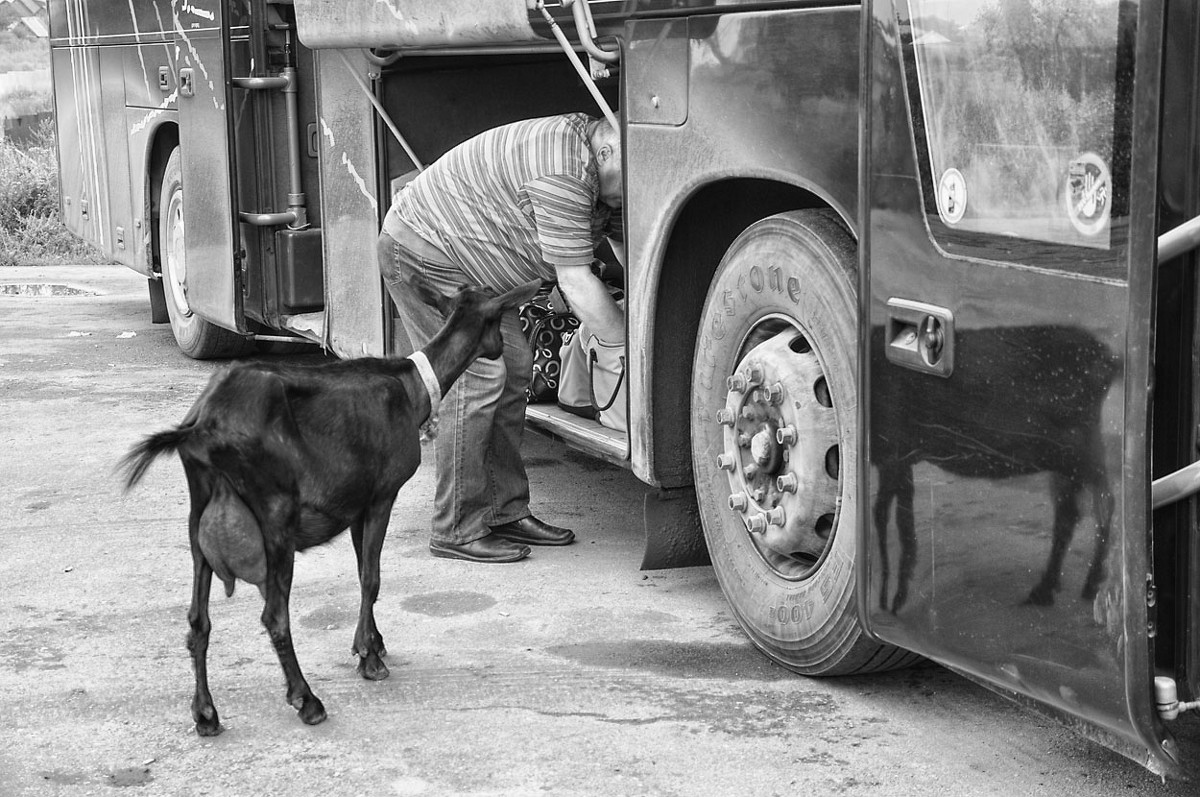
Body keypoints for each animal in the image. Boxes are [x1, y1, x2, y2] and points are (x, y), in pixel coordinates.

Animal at [120, 273, 540, 734]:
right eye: (499, 317)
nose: (505, 349)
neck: (413, 386)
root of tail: (201, 426)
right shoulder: (382, 494)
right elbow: (372, 578)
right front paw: (370, 659)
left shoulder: (357, 503)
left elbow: (361, 574)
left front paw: (370, 643)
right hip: (275, 517)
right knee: (274, 616)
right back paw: (307, 700)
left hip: (199, 521)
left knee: (198, 619)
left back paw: (206, 714)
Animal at [873, 321, 1113, 609]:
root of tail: (1113, 362)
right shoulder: (899, 457)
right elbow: (897, 517)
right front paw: (894, 595)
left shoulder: (891, 450)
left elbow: (887, 517)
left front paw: (890, 598)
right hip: (1071, 455)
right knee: (1076, 510)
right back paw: (1054, 587)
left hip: (1079, 448)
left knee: (1100, 505)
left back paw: (1081, 584)